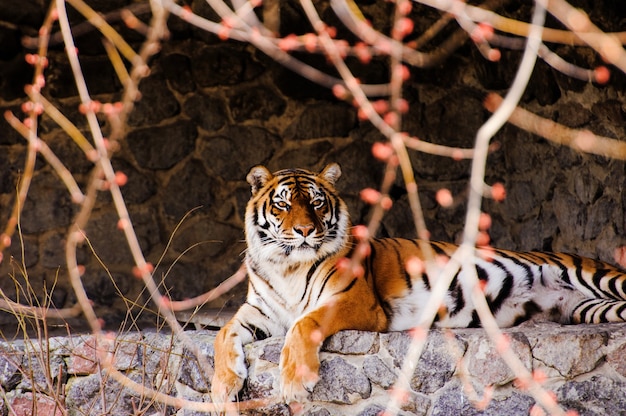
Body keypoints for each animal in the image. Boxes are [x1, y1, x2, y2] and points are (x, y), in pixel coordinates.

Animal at [210, 163, 624, 406]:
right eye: (282, 204)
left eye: (316, 203)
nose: (304, 231)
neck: (288, 267)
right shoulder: (260, 310)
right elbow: (223, 334)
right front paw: (222, 387)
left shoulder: (353, 300)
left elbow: (303, 323)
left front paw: (295, 382)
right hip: (590, 310)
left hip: (598, 278)